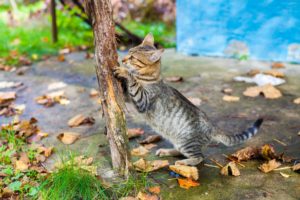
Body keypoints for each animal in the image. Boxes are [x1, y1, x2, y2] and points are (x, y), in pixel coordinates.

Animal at [113, 33, 264, 166]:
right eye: (128, 52)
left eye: (132, 57)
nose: (123, 60)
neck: (150, 78)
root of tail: (212, 126)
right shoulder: (129, 98)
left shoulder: (143, 100)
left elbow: (133, 83)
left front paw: (125, 72)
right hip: (178, 141)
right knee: (182, 152)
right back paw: (167, 151)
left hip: (186, 142)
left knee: (199, 157)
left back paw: (184, 162)